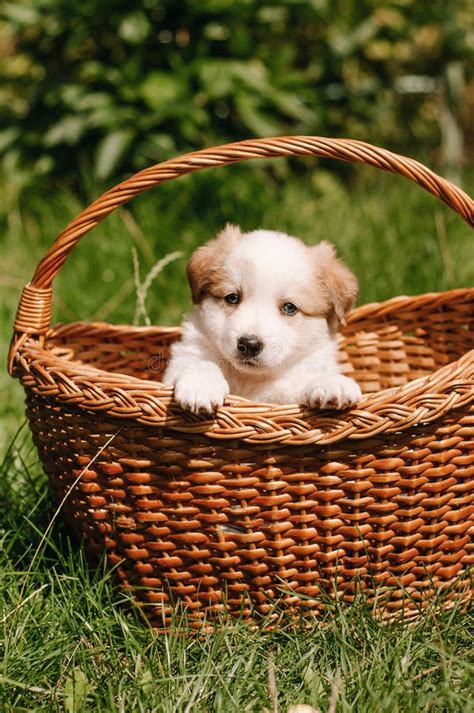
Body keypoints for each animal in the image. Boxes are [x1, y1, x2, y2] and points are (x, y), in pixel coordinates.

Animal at [164, 222, 362, 412]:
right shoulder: (184, 357)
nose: (249, 344)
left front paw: (331, 384)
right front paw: (202, 385)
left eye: (289, 307)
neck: (250, 378)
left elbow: (305, 381)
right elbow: (201, 363)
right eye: (232, 298)